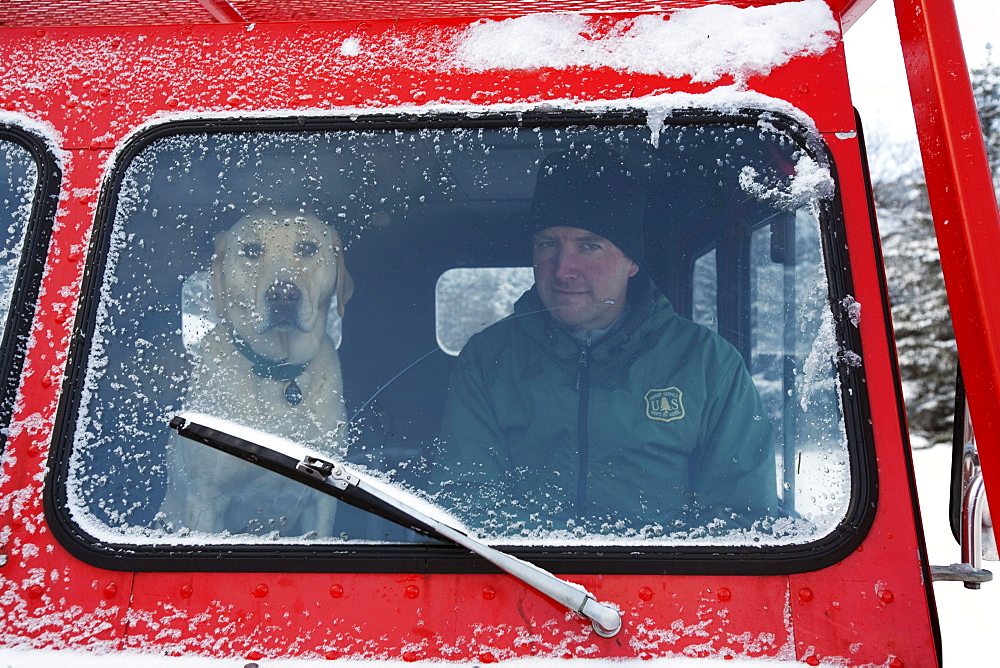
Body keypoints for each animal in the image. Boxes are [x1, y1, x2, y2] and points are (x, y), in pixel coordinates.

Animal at [158, 209, 354, 536]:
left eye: (308, 248)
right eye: (251, 251)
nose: (283, 294)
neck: (278, 372)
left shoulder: (321, 503)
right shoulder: (205, 500)